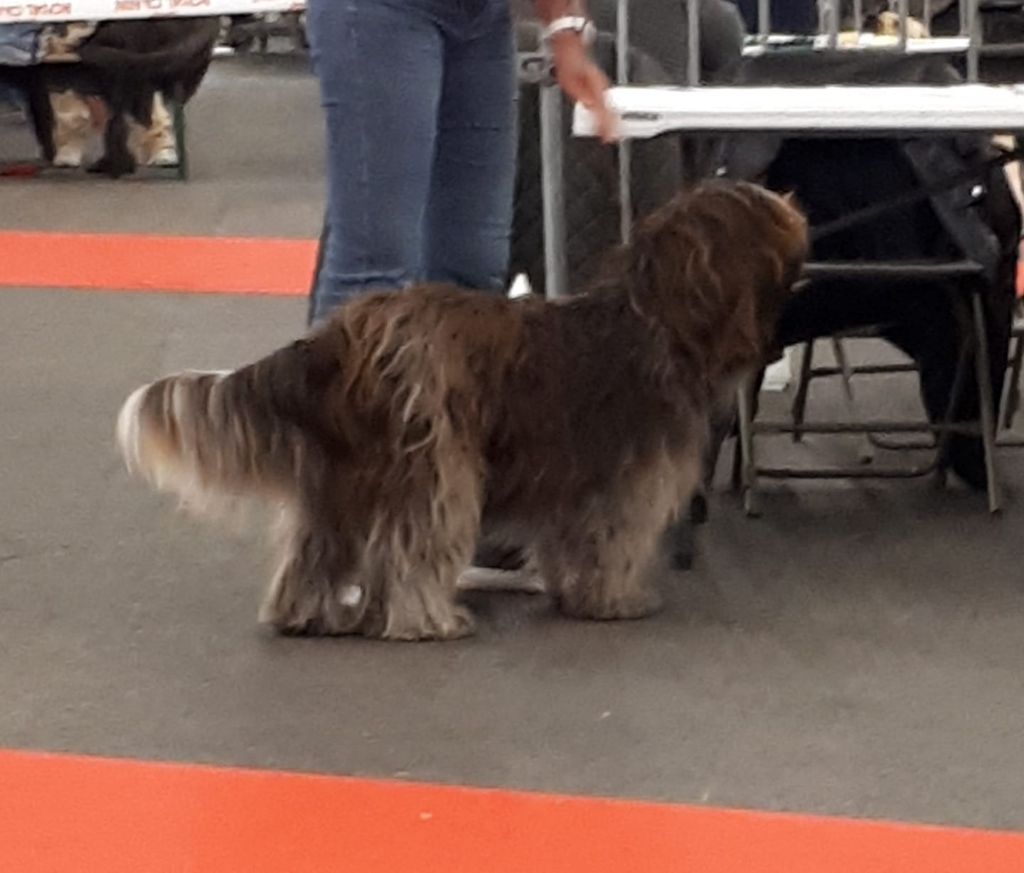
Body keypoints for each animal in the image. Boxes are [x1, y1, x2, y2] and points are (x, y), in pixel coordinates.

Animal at [117, 180, 808, 641]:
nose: (798, 212)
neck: (656, 321)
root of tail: (340, 335)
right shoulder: (619, 482)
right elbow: (606, 541)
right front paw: (615, 600)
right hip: (433, 462)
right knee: (414, 548)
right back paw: (431, 620)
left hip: (342, 477)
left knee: (319, 548)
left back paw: (307, 613)